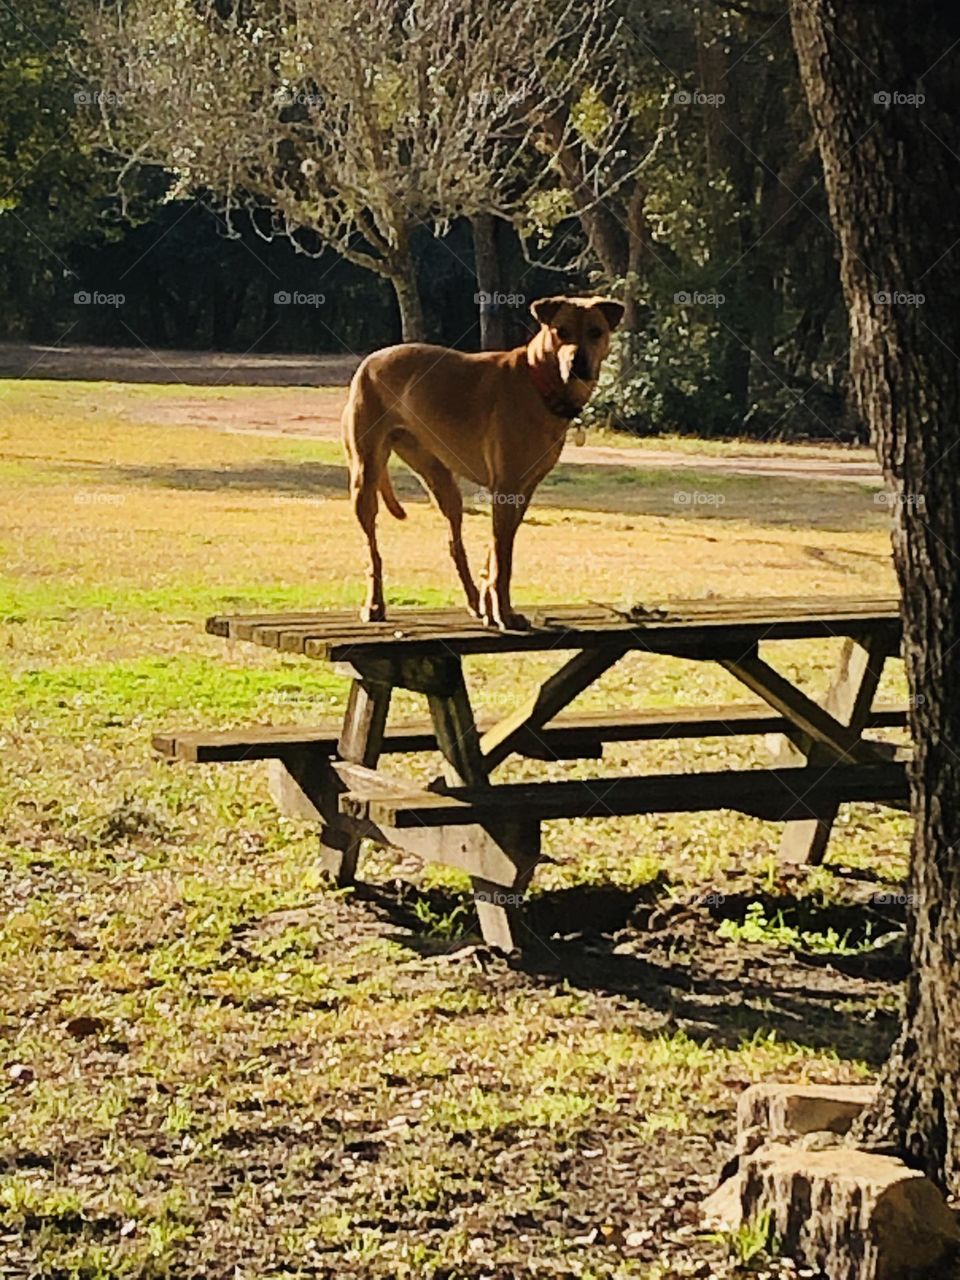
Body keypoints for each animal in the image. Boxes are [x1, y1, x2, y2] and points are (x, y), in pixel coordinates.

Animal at [343, 291, 627, 629]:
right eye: (561, 330)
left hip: (440, 477)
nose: (577, 364)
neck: (539, 384)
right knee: (372, 550)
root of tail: (369, 360)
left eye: (596, 331)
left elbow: (497, 553)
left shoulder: (523, 491)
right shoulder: (505, 487)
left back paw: (473, 601)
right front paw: (503, 613)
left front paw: (491, 607)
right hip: (365, 476)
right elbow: (503, 559)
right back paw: (374, 604)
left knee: (454, 542)